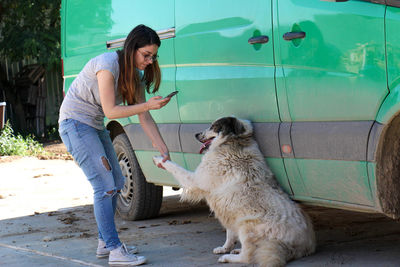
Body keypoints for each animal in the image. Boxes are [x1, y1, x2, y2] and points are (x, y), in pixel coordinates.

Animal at [153, 116, 316, 266]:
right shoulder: (229, 210)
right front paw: (225, 247)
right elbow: (229, 234)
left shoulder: (195, 180)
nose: (196, 134)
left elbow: (175, 167)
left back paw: (229, 257)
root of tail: (296, 246)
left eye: (213, 126)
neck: (234, 141)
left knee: (249, 257)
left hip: (247, 226)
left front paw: (160, 159)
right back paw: (235, 250)